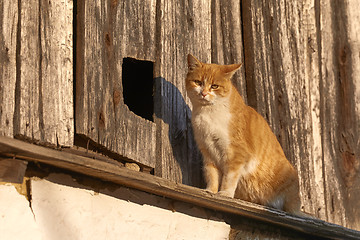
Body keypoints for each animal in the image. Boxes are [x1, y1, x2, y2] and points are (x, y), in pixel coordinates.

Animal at [186, 54, 306, 216]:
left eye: (214, 86)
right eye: (198, 82)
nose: (203, 93)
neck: (208, 115)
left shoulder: (237, 153)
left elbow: (229, 177)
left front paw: (224, 194)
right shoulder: (207, 152)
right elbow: (211, 175)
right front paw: (210, 191)